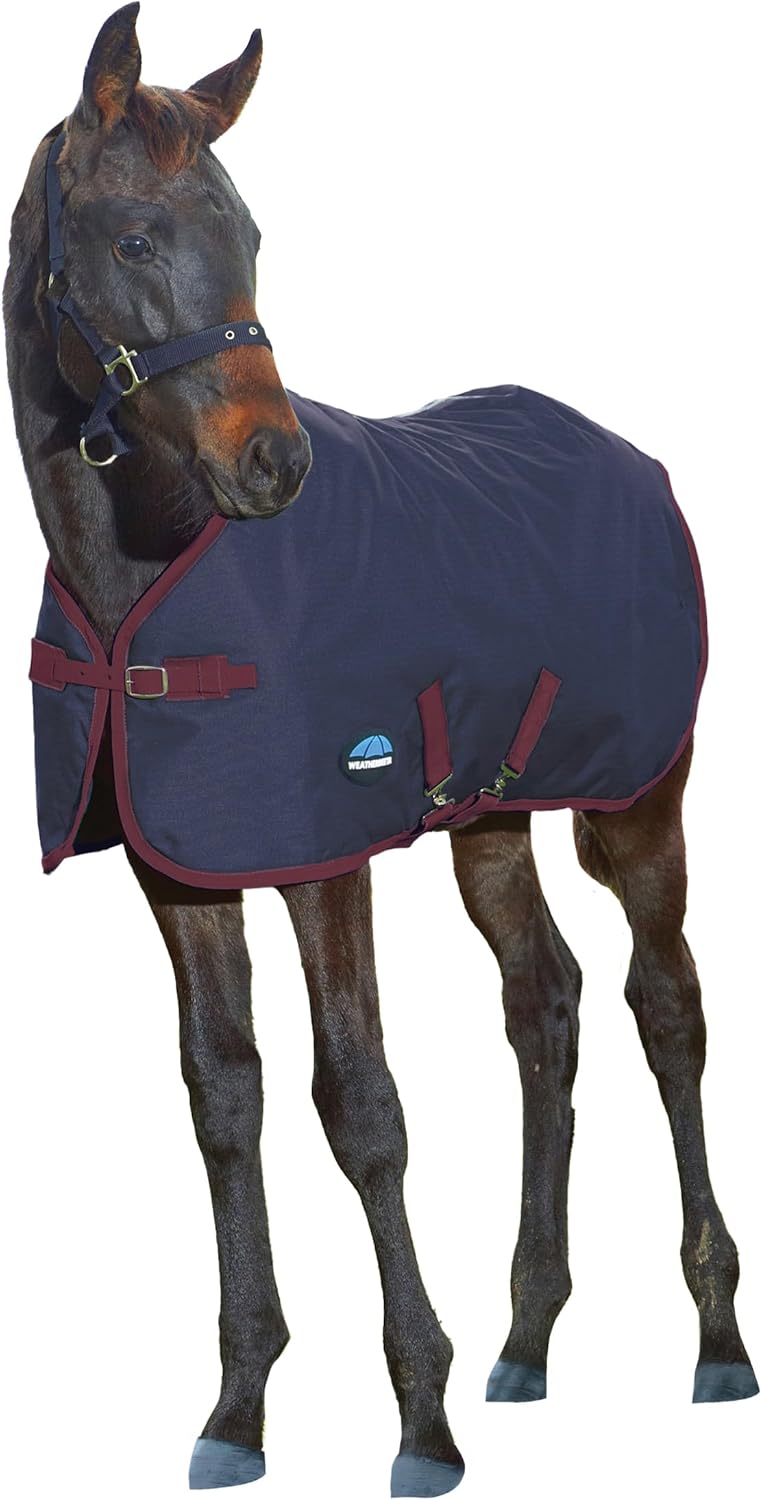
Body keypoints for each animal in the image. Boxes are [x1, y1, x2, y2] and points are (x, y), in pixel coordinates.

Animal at [4, 6, 758, 1495]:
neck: (147, 583)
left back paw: (713, 1342)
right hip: (490, 821)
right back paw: (527, 1338)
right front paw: (238, 1413)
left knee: (666, 1006)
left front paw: (421, 1420)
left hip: (637, 807)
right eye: (135, 240)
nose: (273, 464)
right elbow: (226, 1100)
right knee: (544, 1003)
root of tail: (634, 460)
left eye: (251, 232)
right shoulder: (182, 876)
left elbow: (358, 1105)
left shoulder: (322, 859)